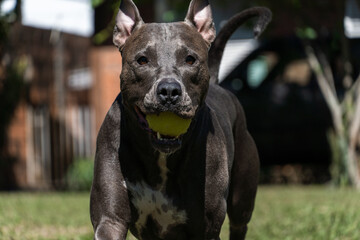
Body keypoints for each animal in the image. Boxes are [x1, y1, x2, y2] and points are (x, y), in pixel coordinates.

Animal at [90, 0, 270, 239]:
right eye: (142, 60)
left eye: (190, 59)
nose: (169, 90)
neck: (159, 158)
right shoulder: (110, 220)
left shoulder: (206, 227)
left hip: (242, 200)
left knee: (239, 223)